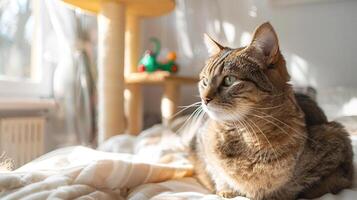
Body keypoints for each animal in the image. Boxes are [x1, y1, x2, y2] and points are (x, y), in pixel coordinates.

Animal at [189, 22, 354, 199]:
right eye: (204, 81)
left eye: (229, 80)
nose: (204, 99)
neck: (246, 136)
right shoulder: (202, 144)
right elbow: (217, 172)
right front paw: (226, 190)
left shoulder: (338, 145)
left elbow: (313, 185)